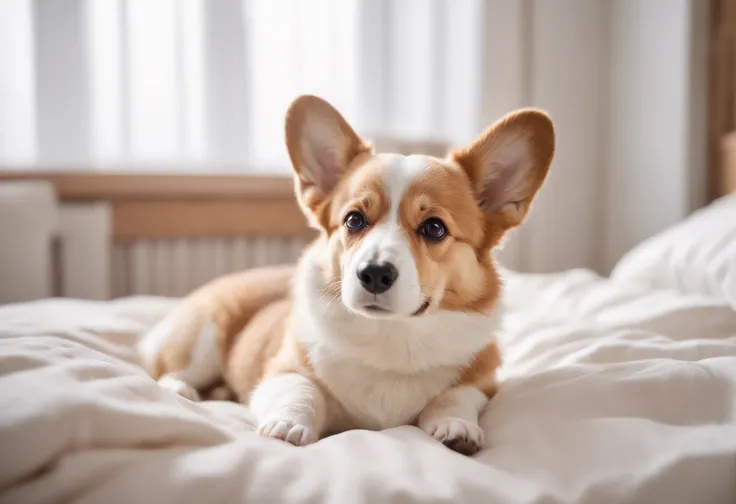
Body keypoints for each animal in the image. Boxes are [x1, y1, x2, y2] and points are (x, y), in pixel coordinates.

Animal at [138, 93, 556, 452]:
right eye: (354, 220)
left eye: (434, 228)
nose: (373, 274)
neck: (393, 337)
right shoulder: (283, 370)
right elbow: (300, 391)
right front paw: (287, 425)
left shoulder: (484, 382)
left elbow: (456, 396)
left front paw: (457, 427)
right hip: (203, 338)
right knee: (167, 370)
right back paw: (181, 391)